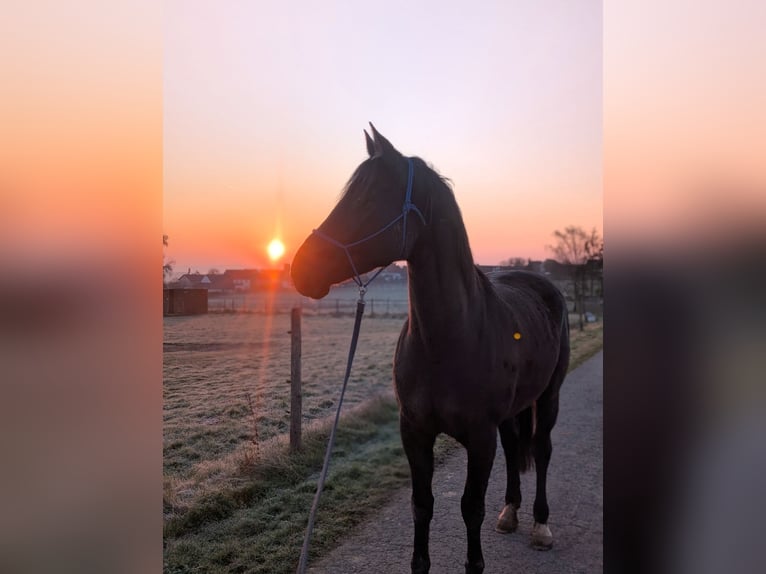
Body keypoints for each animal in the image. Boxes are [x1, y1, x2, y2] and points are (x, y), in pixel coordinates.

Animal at [291, 125, 570, 574]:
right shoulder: (415, 431)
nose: (301, 268)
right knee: (515, 446)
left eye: (369, 198)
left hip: (549, 396)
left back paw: (540, 525)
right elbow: (422, 505)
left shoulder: (479, 437)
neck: (448, 340)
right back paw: (510, 512)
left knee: (541, 450)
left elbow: (470, 508)